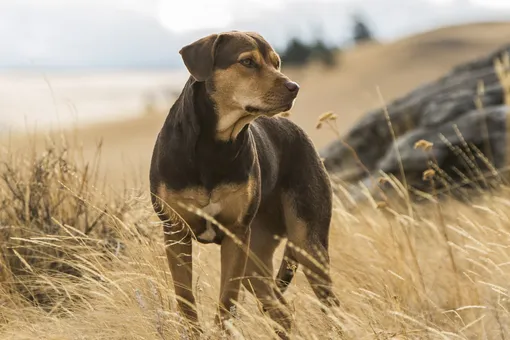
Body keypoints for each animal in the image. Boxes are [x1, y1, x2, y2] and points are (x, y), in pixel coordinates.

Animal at [147, 31, 338, 338]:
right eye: (247, 62)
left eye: (276, 62)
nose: (294, 87)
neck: (214, 146)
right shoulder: (175, 231)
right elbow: (185, 299)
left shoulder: (236, 235)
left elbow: (227, 301)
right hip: (256, 257)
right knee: (282, 310)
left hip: (306, 242)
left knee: (327, 304)